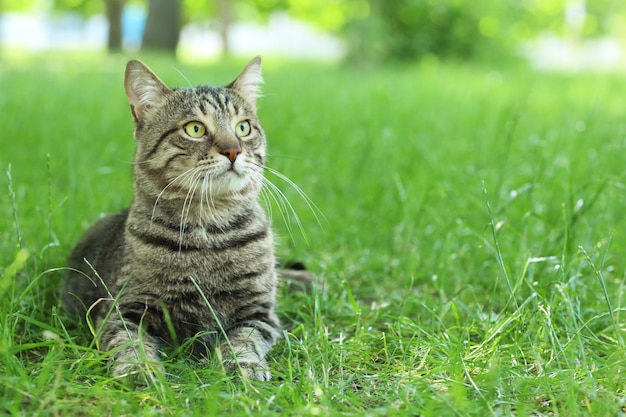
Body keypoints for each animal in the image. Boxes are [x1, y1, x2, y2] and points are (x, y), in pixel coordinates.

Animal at [60, 57, 290, 380]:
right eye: (195, 129)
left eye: (243, 127)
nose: (234, 150)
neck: (209, 227)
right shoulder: (122, 309)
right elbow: (130, 342)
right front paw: (140, 370)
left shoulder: (258, 311)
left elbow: (244, 340)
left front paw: (243, 366)